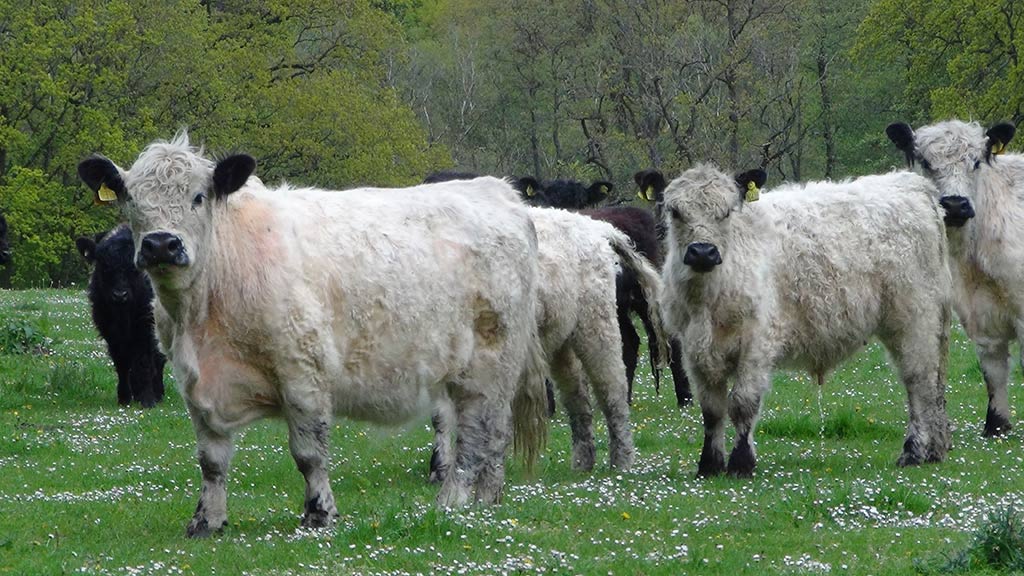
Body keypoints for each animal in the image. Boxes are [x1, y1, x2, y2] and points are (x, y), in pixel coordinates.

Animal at [76, 225, 166, 408]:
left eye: (135, 267)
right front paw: (124, 398)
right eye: (104, 265)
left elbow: (144, 362)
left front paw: (147, 399)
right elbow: (121, 364)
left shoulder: (145, 328)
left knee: (158, 359)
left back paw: (158, 392)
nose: (120, 295)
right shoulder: (109, 332)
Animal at [660, 163, 952, 477]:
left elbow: (742, 403)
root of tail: (909, 182)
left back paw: (913, 451)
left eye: (726, 212)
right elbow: (712, 410)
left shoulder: (757, 344)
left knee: (919, 383)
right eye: (675, 212)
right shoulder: (694, 349)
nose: (702, 252)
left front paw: (741, 464)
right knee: (933, 386)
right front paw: (709, 465)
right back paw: (934, 450)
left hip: (915, 320)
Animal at [887, 119, 1022, 436]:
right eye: (925, 162)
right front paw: (996, 425)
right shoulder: (979, 315)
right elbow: (993, 371)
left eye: (976, 162)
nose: (956, 205)